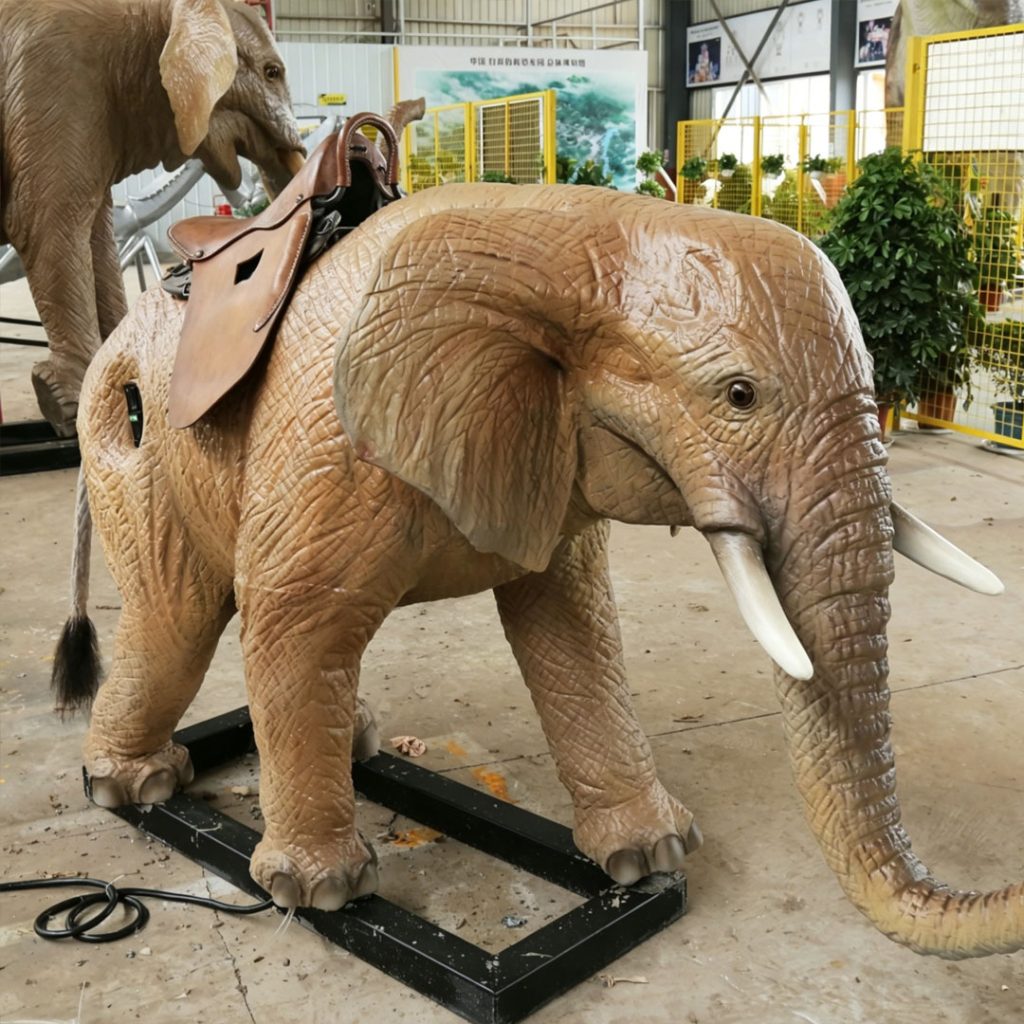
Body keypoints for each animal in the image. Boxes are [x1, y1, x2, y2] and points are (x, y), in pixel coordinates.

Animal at [55, 182, 1022, 959]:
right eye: (739, 395)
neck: (573, 230)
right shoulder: (326, 438)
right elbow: (292, 617)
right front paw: (322, 894)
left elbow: (573, 627)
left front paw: (650, 857)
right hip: (136, 459)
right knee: (180, 621)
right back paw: (135, 787)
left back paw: (355, 742)